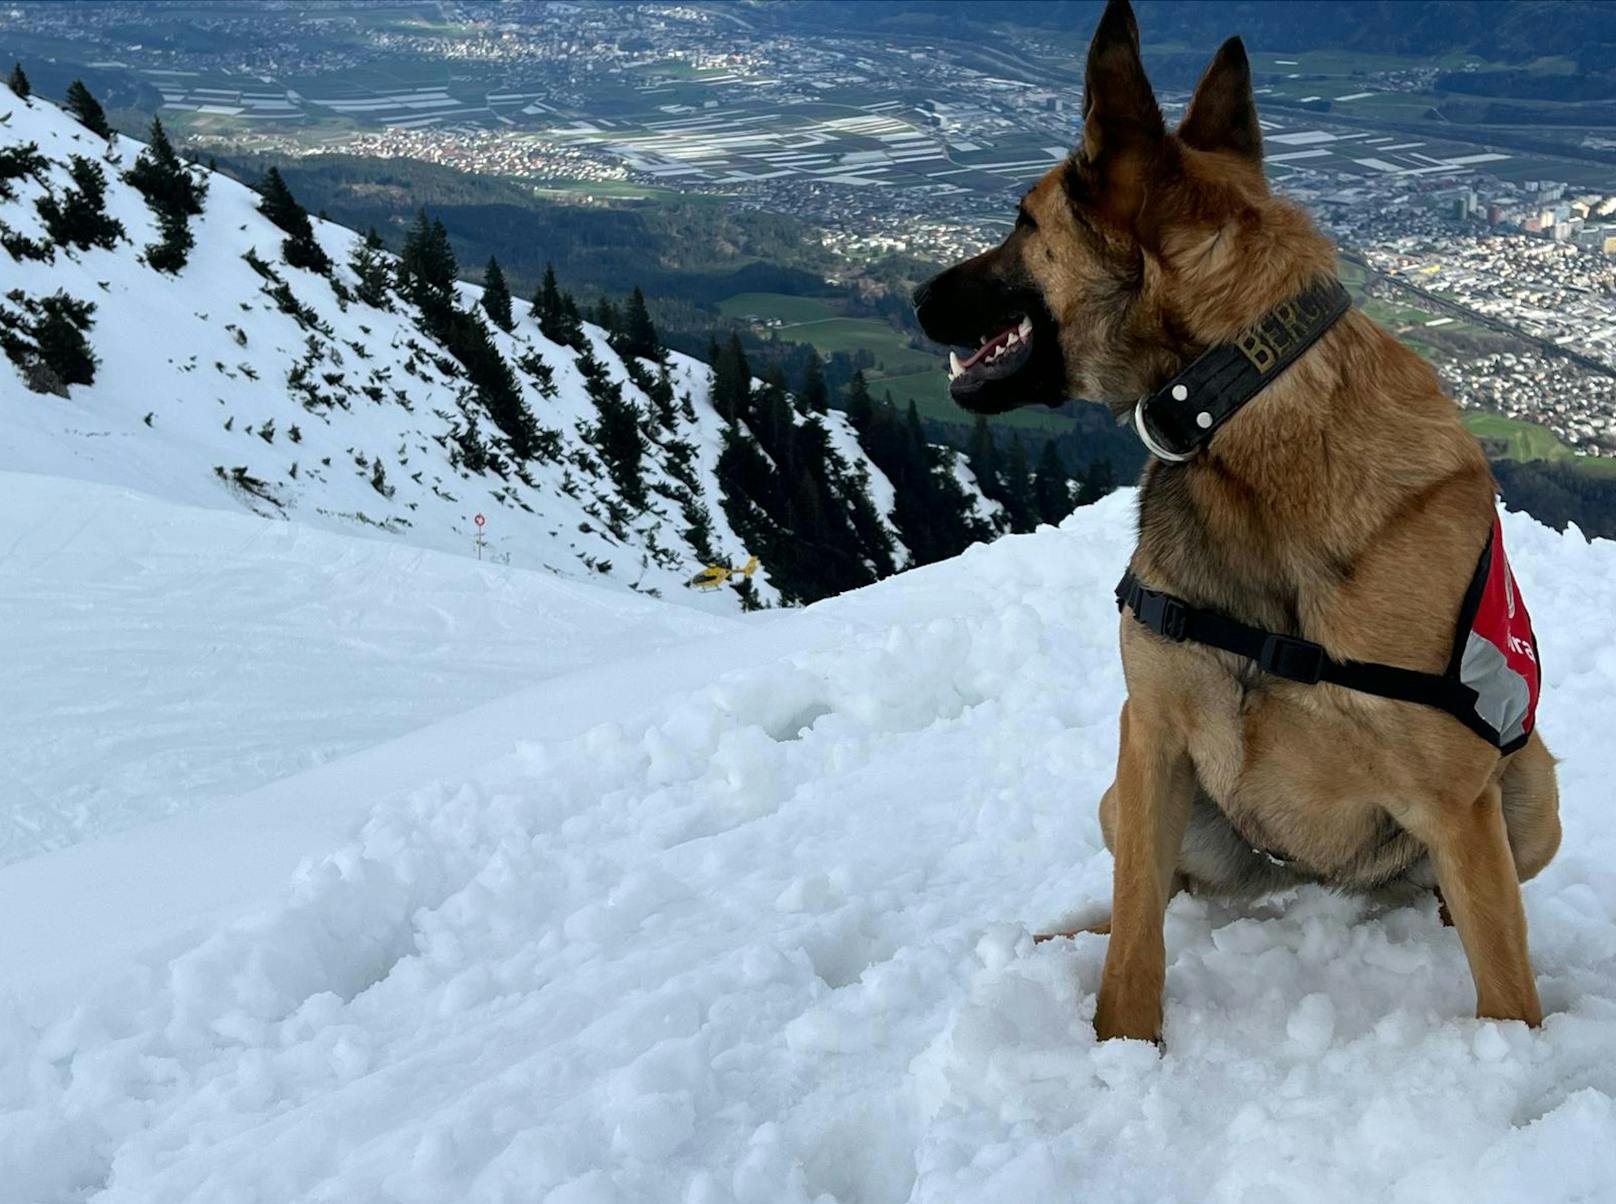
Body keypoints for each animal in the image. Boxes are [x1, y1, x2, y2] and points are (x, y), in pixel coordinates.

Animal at [917, 0, 1557, 1040]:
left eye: (1023, 222)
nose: (918, 296)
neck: (1240, 413)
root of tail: (1311, 881)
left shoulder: (1460, 800)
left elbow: (1507, 989)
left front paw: (1515, 1067)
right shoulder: (1149, 734)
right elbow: (1136, 937)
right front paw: (1120, 1049)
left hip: (1530, 792)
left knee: (1455, 894)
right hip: (1130, 797)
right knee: (1157, 891)